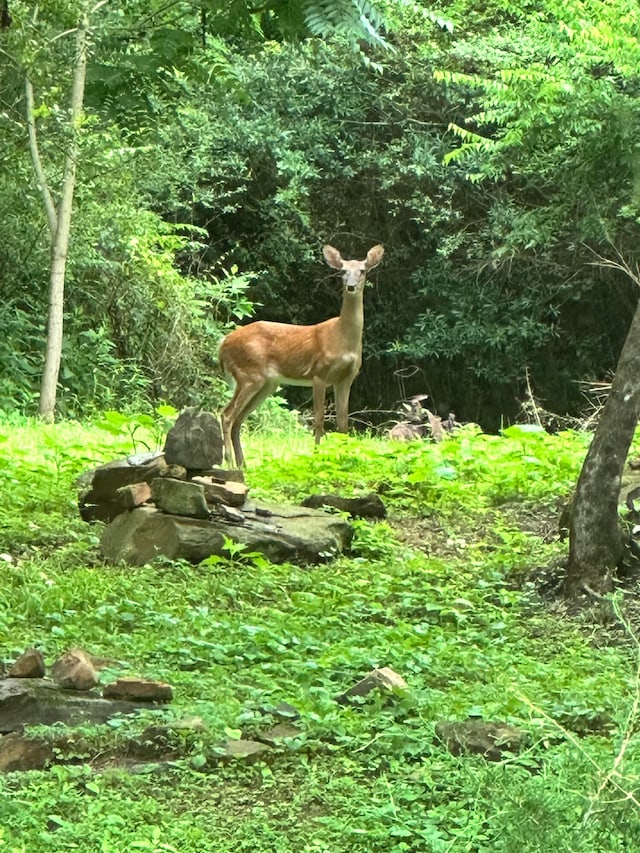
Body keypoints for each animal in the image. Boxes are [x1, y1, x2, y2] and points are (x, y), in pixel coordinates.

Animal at [219, 240, 384, 466]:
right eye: (342, 271)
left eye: (362, 270)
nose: (350, 286)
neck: (342, 338)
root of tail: (222, 345)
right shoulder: (319, 372)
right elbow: (319, 420)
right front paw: (316, 455)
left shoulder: (346, 378)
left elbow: (343, 422)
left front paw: (345, 457)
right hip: (249, 374)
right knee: (227, 415)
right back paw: (229, 462)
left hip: (267, 383)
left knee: (238, 419)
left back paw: (243, 464)